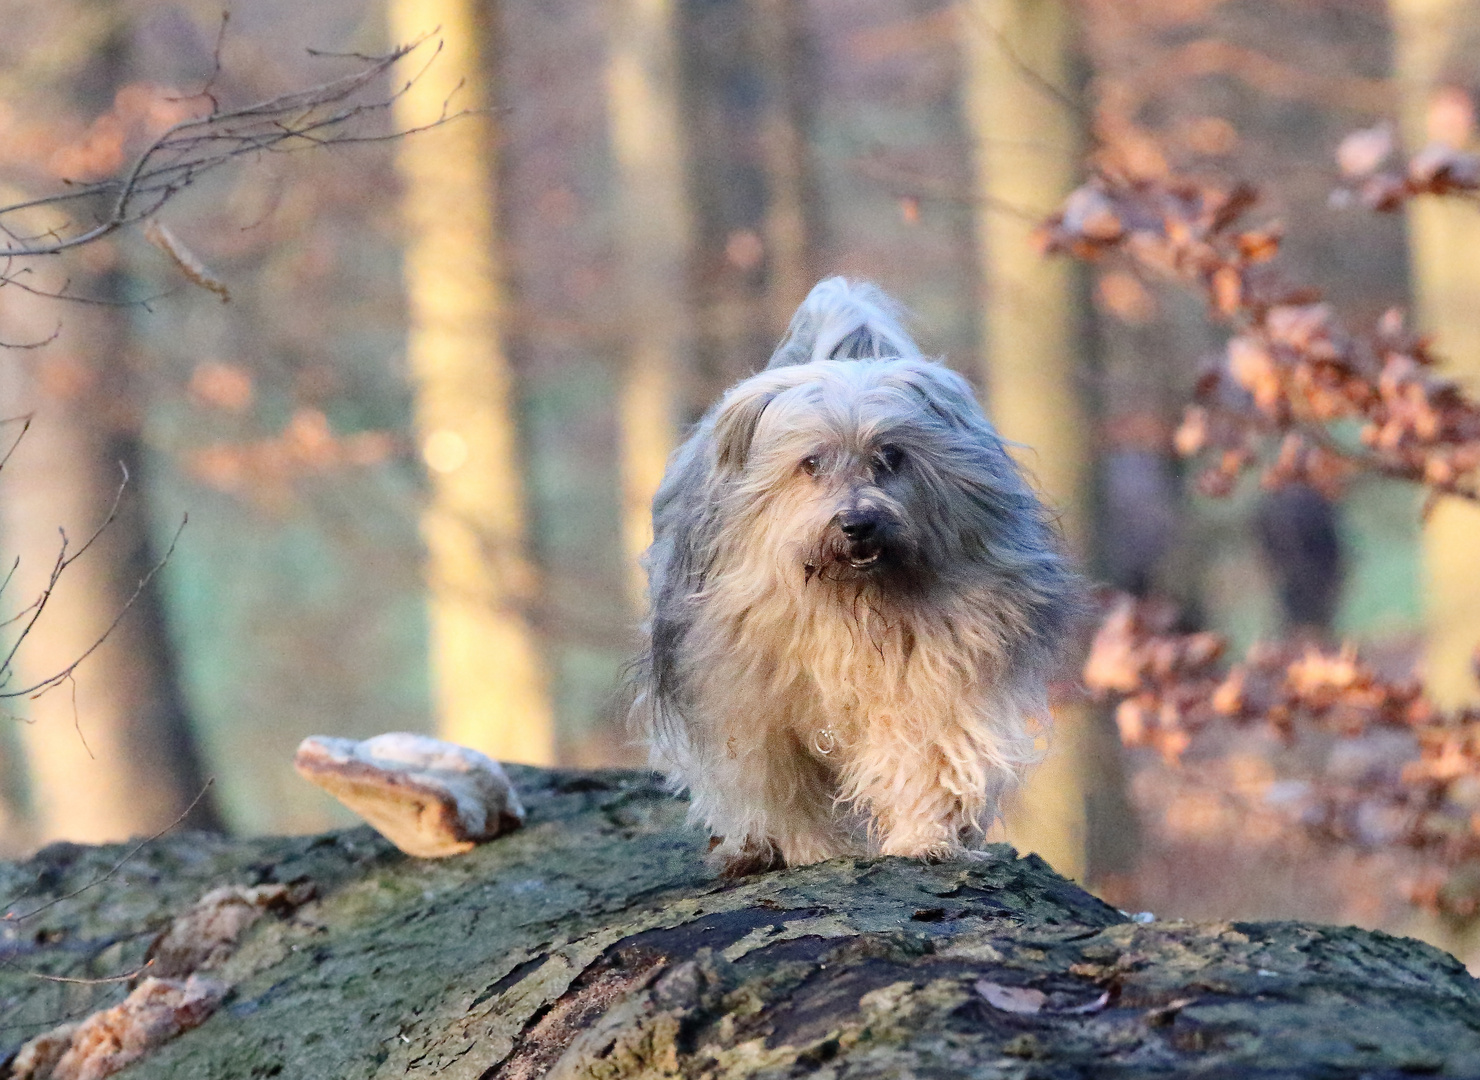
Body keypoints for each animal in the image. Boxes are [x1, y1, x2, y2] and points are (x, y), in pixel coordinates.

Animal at [627, 278, 1077, 875]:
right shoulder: (747, 696)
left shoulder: (940, 669)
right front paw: (812, 850)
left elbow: (931, 752)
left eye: (890, 456)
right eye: (811, 463)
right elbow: (780, 780)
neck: (852, 600)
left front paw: (925, 838)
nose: (858, 523)